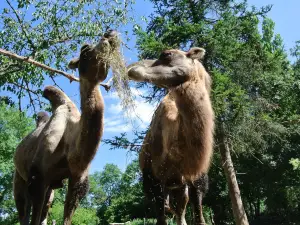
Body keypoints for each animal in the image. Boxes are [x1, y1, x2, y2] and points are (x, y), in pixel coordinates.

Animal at [13, 29, 118, 225]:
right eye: (85, 50)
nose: (110, 33)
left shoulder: (78, 179)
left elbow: (66, 217)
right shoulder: (37, 177)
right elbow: (33, 216)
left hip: (51, 187)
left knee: (44, 209)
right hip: (19, 177)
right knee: (24, 211)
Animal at [127, 47, 214, 225]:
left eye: (167, 54)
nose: (132, 67)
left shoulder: (197, 180)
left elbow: (199, 217)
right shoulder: (155, 179)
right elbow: (161, 218)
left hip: (178, 187)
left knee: (180, 211)